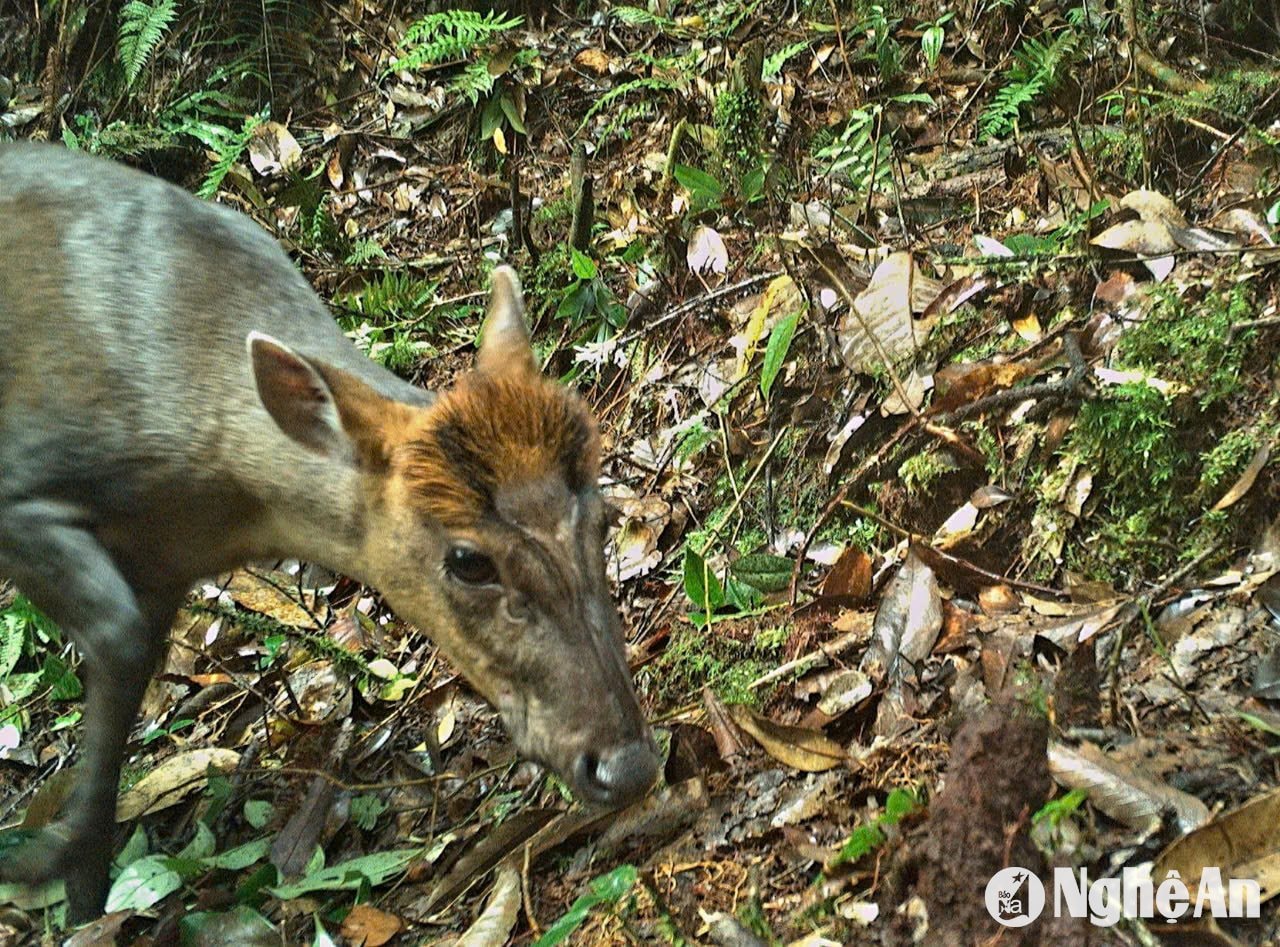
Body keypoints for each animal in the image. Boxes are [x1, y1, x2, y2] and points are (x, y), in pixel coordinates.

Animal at [0, 143, 660, 921]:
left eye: (605, 516)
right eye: (468, 560)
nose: (628, 766)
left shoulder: (164, 564)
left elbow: (126, 665)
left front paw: (82, 891)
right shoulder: (25, 476)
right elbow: (116, 635)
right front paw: (53, 870)